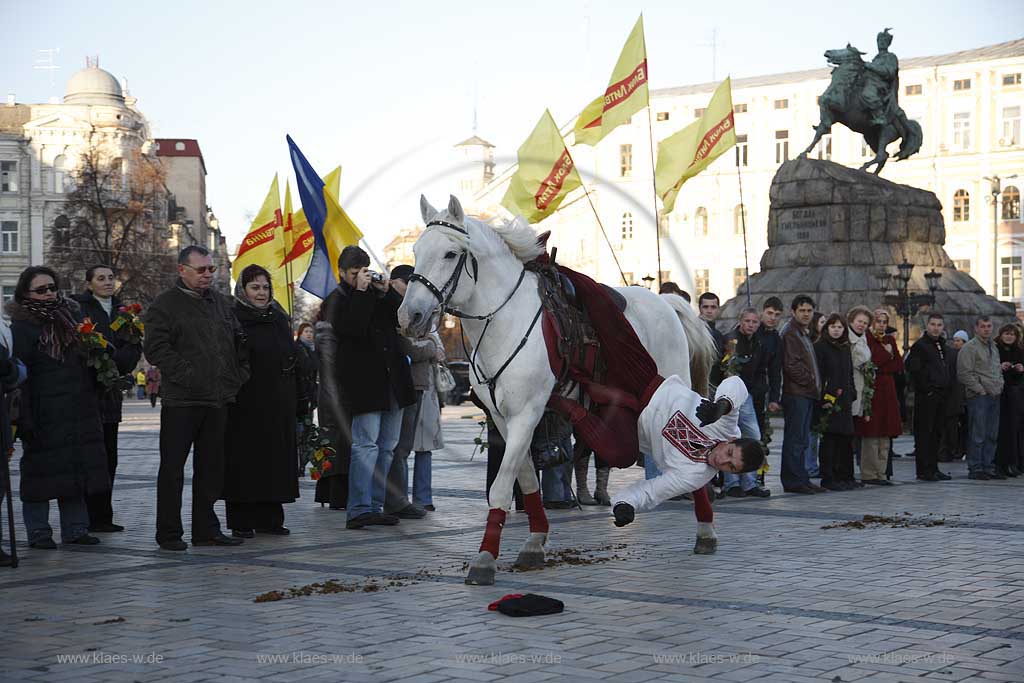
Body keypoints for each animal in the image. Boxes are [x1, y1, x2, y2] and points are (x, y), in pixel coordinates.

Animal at [395, 194, 716, 585]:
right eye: (416, 250)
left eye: (450, 254)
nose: (409, 317)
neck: (504, 318)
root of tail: (667, 303)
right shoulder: (504, 419)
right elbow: (524, 478)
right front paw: (534, 542)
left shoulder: (526, 414)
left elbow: (501, 487)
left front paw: (485, 559)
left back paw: (706, 531)